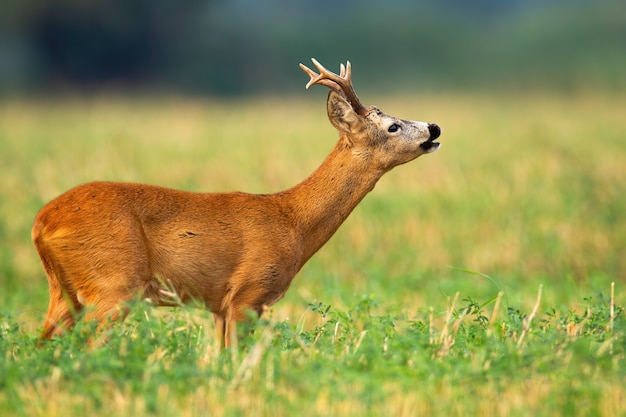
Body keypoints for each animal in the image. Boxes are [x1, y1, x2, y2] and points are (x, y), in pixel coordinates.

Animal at [31, 57, 442, 346]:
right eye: (391, 126)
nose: (434, 127)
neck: (293, 220)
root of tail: (41, 222)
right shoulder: (248, 294)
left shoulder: (218, 306)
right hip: (113, 283)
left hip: (65, 292)